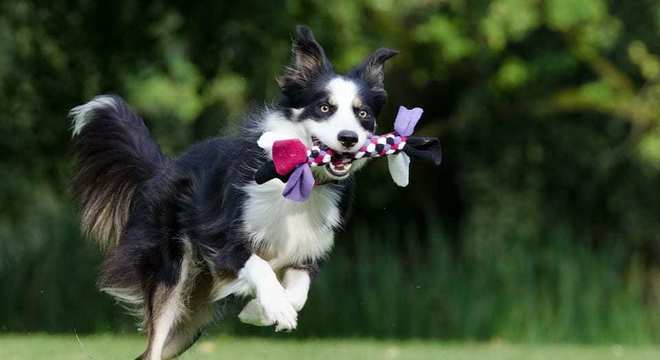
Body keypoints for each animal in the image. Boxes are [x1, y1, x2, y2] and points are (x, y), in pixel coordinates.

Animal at [71, 26, 398, 360]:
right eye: (324, 108)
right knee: (153, 346)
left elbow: (298, 293)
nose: (349, 138)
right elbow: (260, 266)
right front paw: (275, 308)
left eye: (362, 113)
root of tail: (164, 167)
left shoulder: (306, 251)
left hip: (193, 317)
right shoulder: (223, 239)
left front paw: (259, 310)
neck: (297, 179)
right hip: (172, 273)